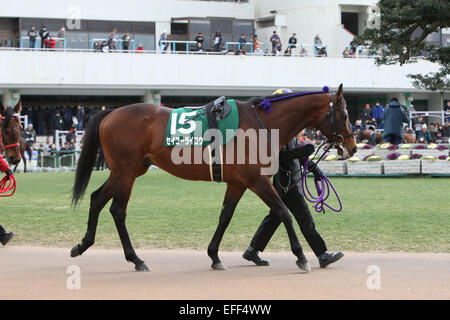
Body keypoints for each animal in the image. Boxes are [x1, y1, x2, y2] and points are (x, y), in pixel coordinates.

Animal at [71, 84, 356, 272]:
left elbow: (225, 217)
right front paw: (301, 256)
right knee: (118, 210)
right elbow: (284, 212)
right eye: (344, 114)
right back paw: (136, 259)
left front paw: (215, 256)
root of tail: (110, 113)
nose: (352, 147)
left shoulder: (238, 183)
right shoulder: (257, 181)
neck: (261, 123)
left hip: (126, 171)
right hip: (126, 173)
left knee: (96, 199)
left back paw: (83, 244)